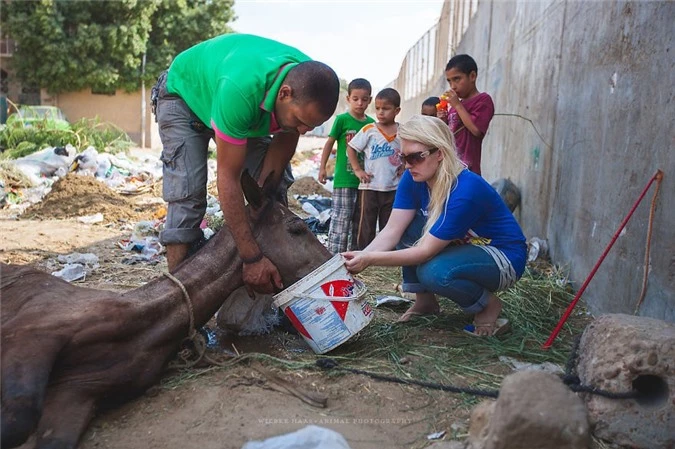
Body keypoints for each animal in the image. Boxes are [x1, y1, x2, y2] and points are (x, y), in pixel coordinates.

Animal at [0, 173, 332, 448]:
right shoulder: (33, 333)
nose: (337, 261)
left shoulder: (79, 392)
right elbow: (18, 419)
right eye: (297, 228)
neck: (141, 321)